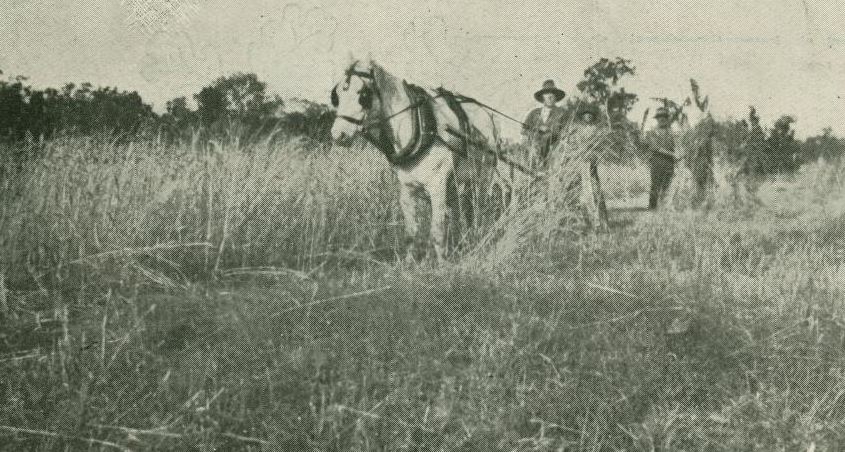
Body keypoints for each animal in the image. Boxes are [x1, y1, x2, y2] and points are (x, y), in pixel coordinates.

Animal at [330, 57, 508, 262]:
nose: (338, 135)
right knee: (460, 212)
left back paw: (475, 235)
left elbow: (437, 231)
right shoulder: (407, 190)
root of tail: (489, 116)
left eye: (363, 94)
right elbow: (411, 232)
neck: (419, 126)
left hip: (483, 177)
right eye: (336, 95)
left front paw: (442, 263)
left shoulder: (438, 187)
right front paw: (409, 262)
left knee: (478, 208)